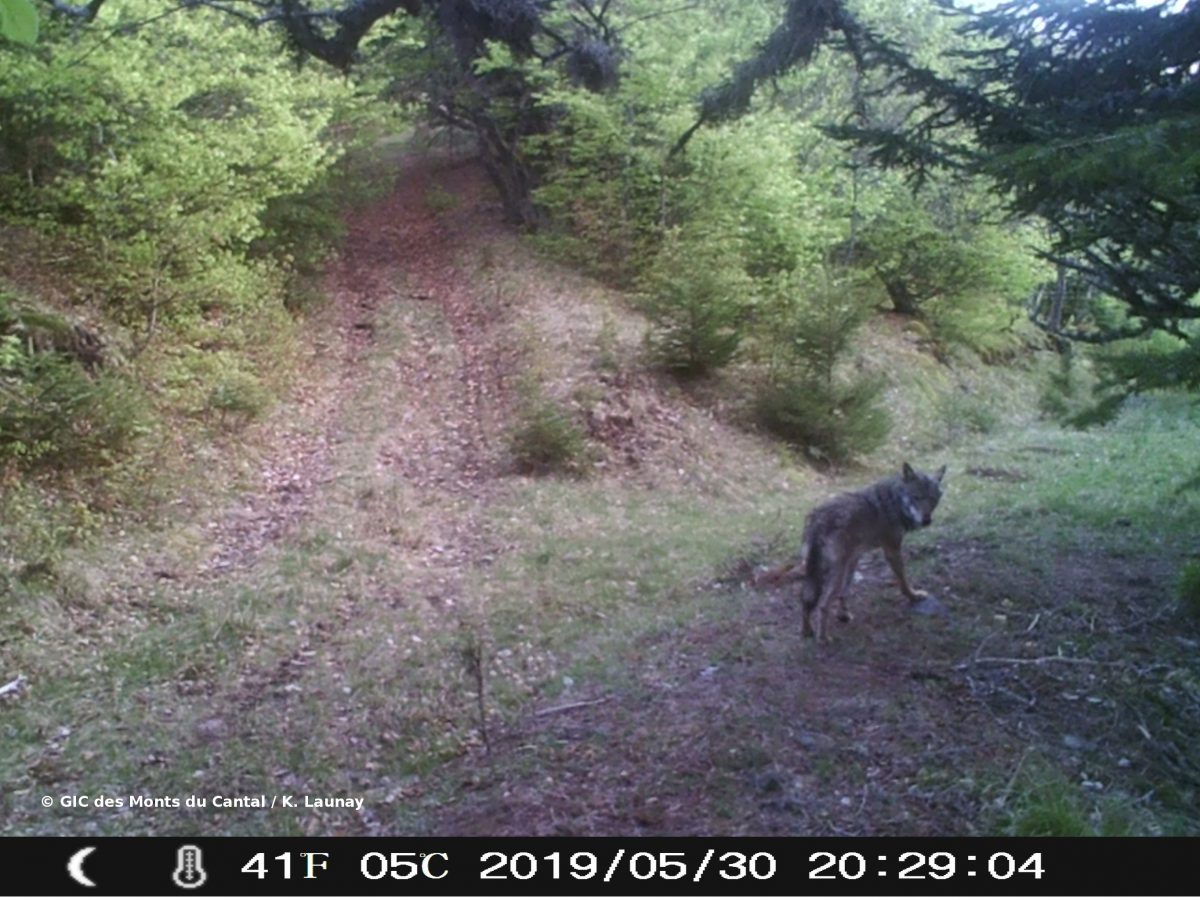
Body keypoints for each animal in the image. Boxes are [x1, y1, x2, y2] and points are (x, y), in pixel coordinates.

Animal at [796, 465, 945, 643]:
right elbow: (903, 581)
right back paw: (823, 638)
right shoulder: (892, 550)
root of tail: (817, 520)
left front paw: (843, 614)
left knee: (805, 599)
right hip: (834, 572)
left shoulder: (854, 558)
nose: (926, 520)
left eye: (932, 499)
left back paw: (807, 632)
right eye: (916, 497)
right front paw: (913, 596)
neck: (894, 502)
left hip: (820, 570)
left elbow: (844, 593)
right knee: (822, 605)